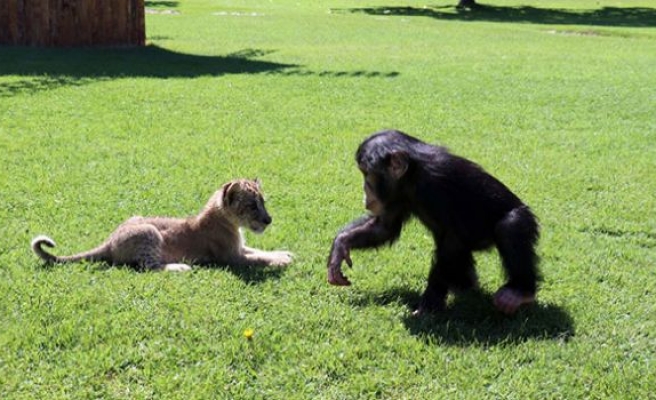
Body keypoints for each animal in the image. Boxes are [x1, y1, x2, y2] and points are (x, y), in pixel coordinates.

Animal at [326, 130, 540, 316]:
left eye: (367, 174)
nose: (365, 190)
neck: (412, 177)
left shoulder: (438, 185)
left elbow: (452, 241)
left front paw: (429, 305)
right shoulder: (395, 197)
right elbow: (383, 228)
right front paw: (340, 246)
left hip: (523, 218)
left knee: (510, 228)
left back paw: (520, 292)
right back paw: (465, 286)